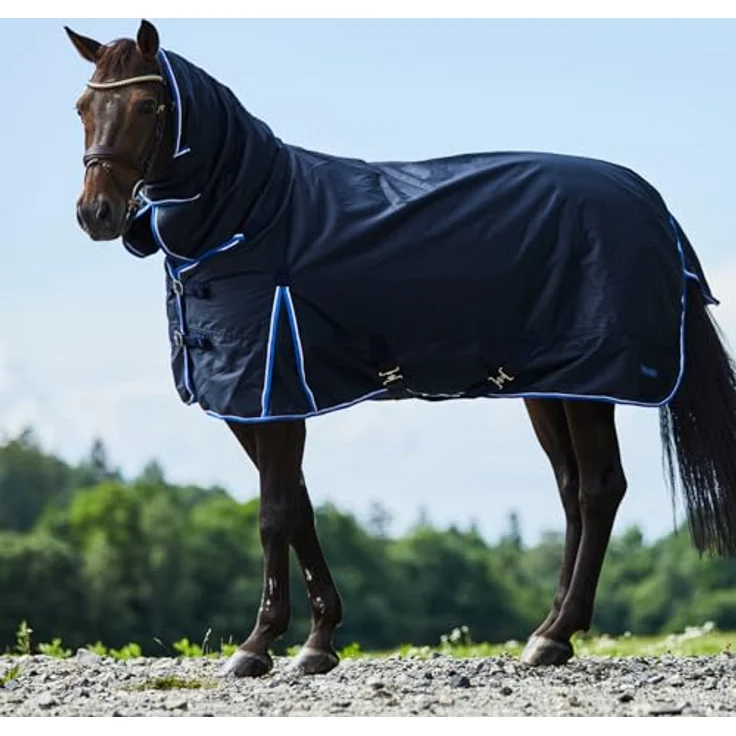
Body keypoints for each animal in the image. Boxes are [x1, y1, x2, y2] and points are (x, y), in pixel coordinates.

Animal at [66, 20, 736, 677]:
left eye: (147, 104)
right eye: (82, 107)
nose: (96, 213)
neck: (251, 216)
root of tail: (651, 205)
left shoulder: (271, 390)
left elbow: (273, 512)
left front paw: (257, 645)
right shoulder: (252, 404)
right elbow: (299, 506)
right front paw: (318, 641)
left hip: (590, 386)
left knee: (598, 490)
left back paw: (556, 636)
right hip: (549, 386)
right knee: (573, 492)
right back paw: (546, 630)